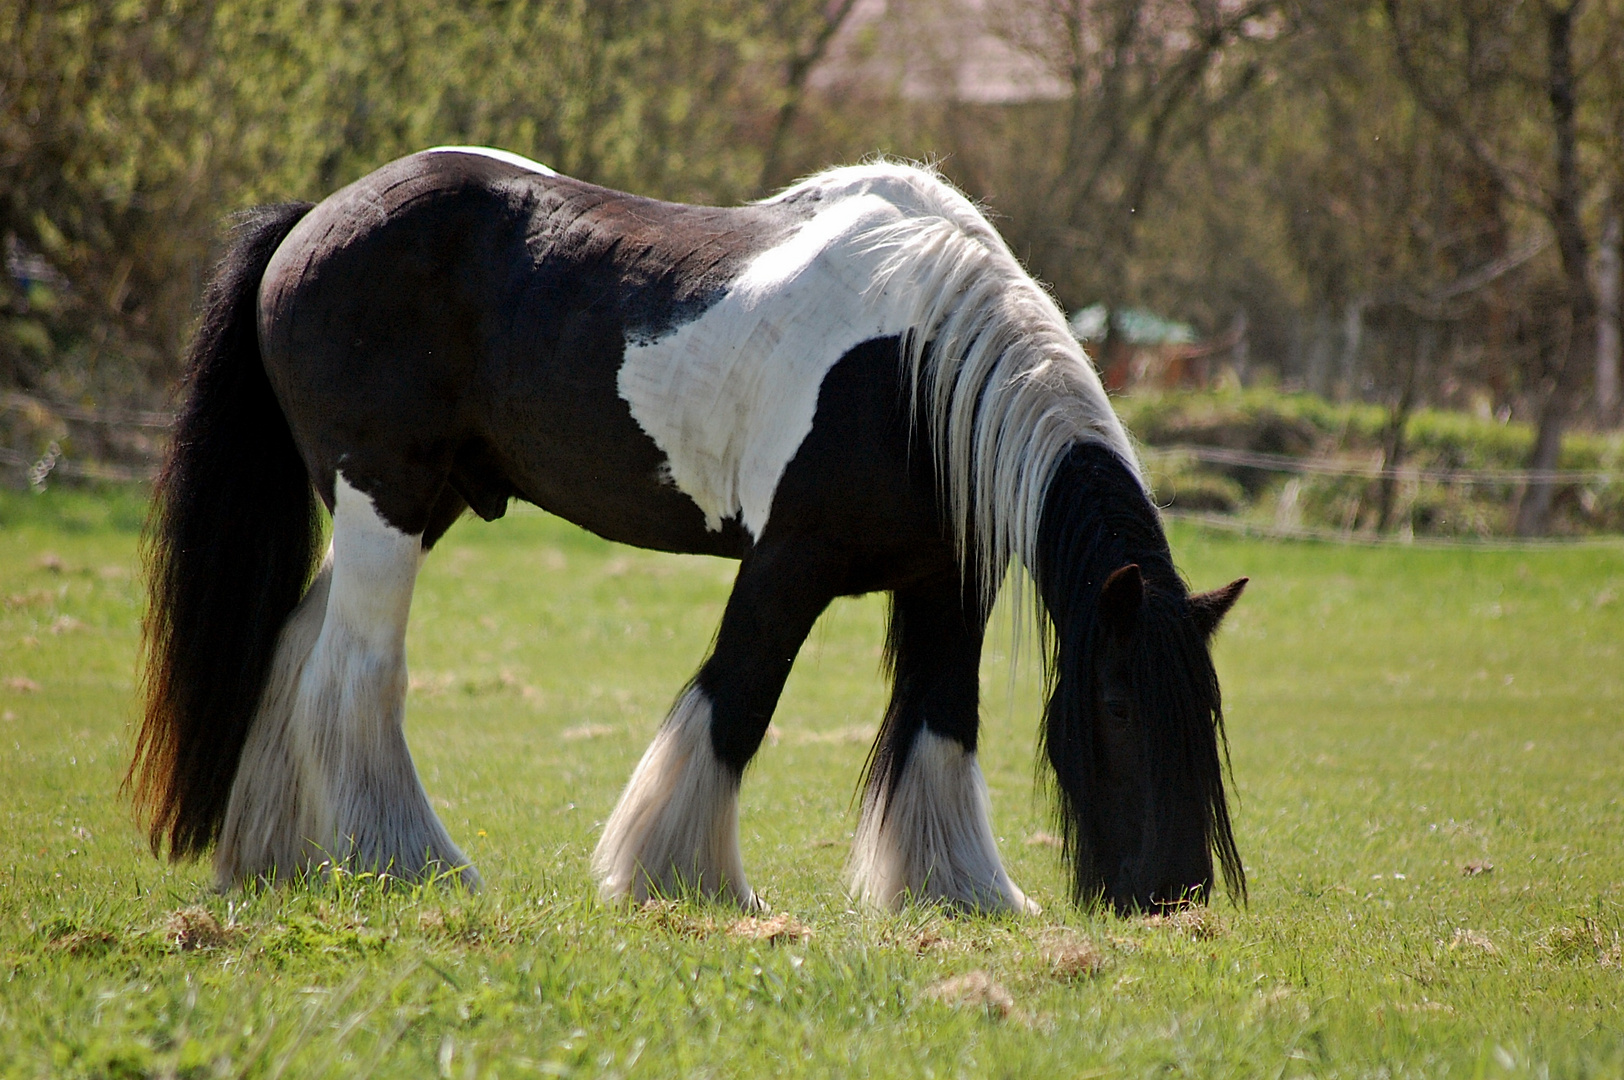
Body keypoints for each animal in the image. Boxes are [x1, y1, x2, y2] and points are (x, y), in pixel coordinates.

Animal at [129, 147, 1240, 915]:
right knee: (354, 676)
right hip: (384, 500)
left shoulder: (944, 581)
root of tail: (311, 219)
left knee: (292, 655)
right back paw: (416, 864)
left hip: (414, 508)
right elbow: (736, 702)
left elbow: (942, 725)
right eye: (1122, 706)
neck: (916, 367)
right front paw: (680, 879)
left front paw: (959, 893)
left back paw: (281, 860)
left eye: (1207, 713)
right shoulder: (789, 564)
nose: (1172, 894)